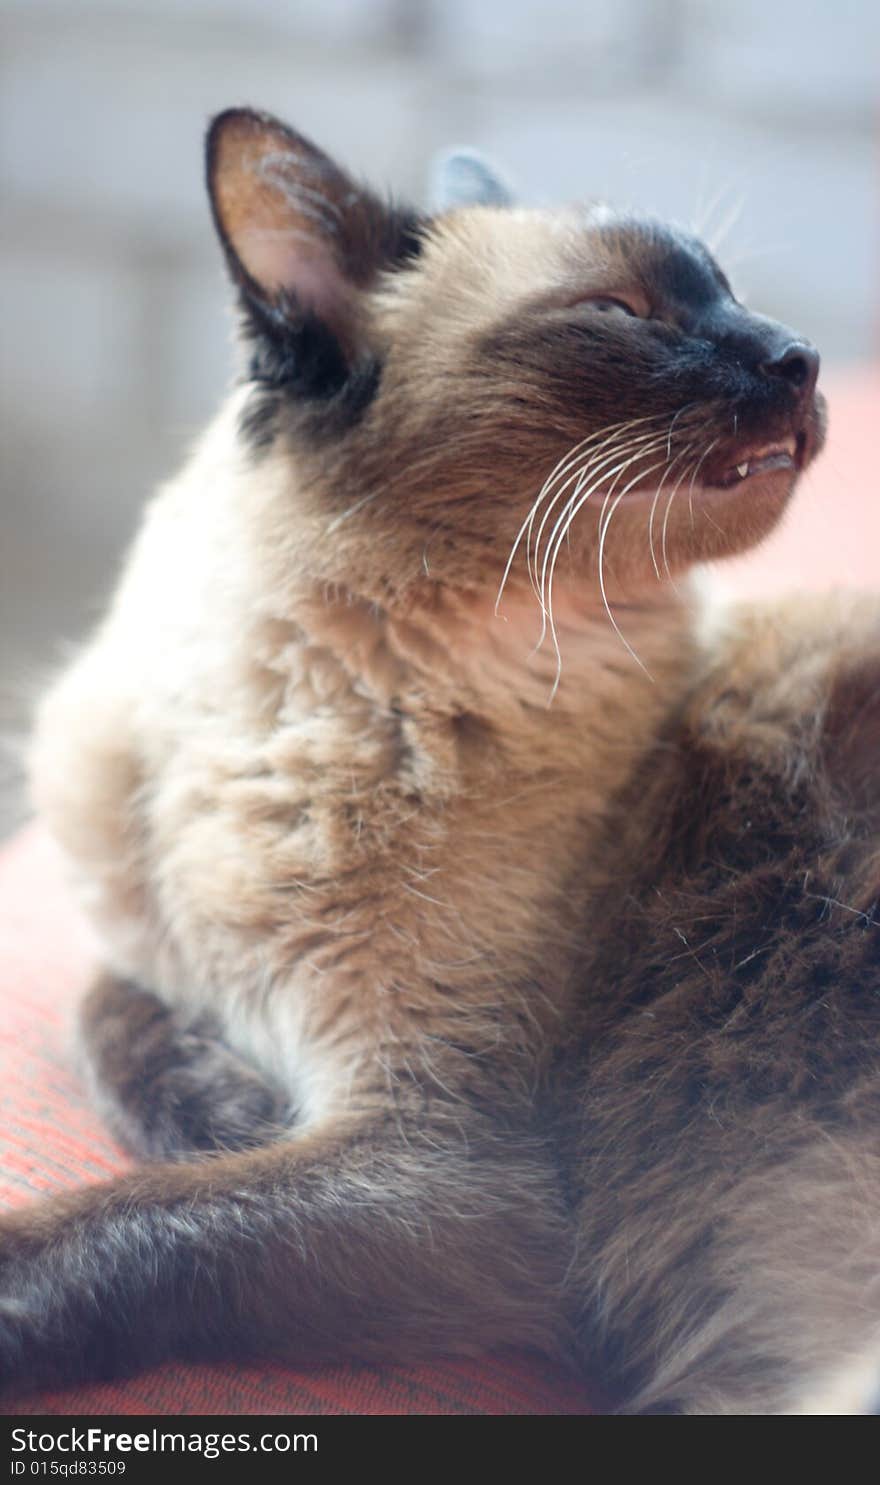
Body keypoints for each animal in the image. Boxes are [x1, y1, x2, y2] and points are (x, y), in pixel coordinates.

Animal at [5, 107, 872, 1413]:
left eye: (731, 294)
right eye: (619, 311)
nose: (802, 356)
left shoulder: (438, 1166)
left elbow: (124, 1223)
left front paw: (217, 1128)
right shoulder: (146, 947)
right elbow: (108, 1014)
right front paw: (224, 1103)